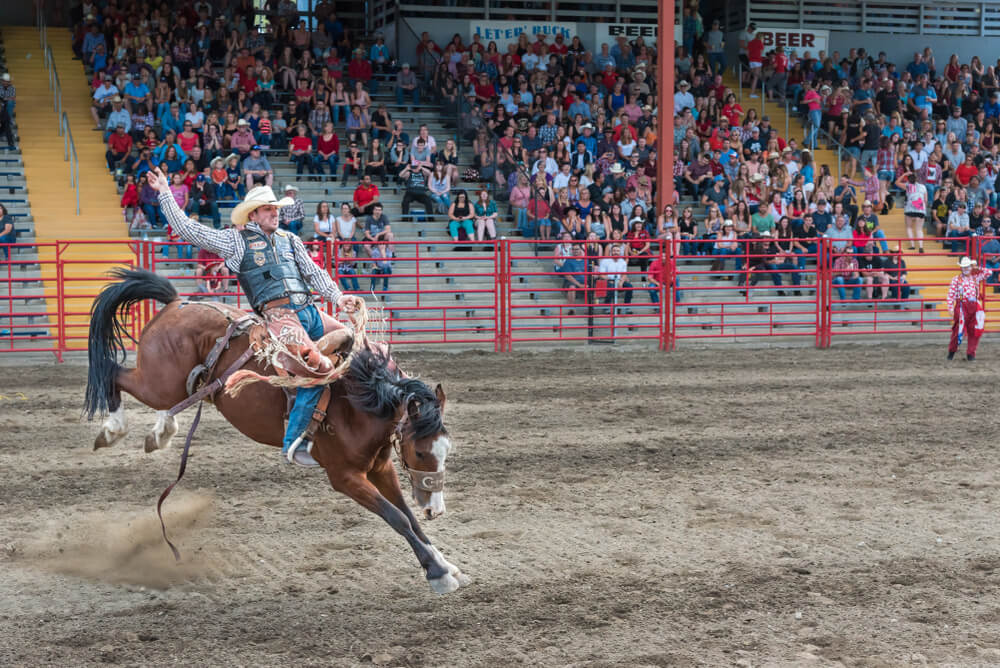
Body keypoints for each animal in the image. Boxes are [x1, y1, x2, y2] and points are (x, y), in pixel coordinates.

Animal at [82, 268, 468, 592]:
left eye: (446, 450)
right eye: (421, 451)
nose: (436, 509)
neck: (360, 400)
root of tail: (176, 302)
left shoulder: (380, 467)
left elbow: (407, 516)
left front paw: (446, 563)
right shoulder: (344, 476)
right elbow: (396, 517)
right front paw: (437, 573)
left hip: (173, 385)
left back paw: (161, 431)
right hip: (158, 382)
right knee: (114, 374)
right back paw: (113, 429)